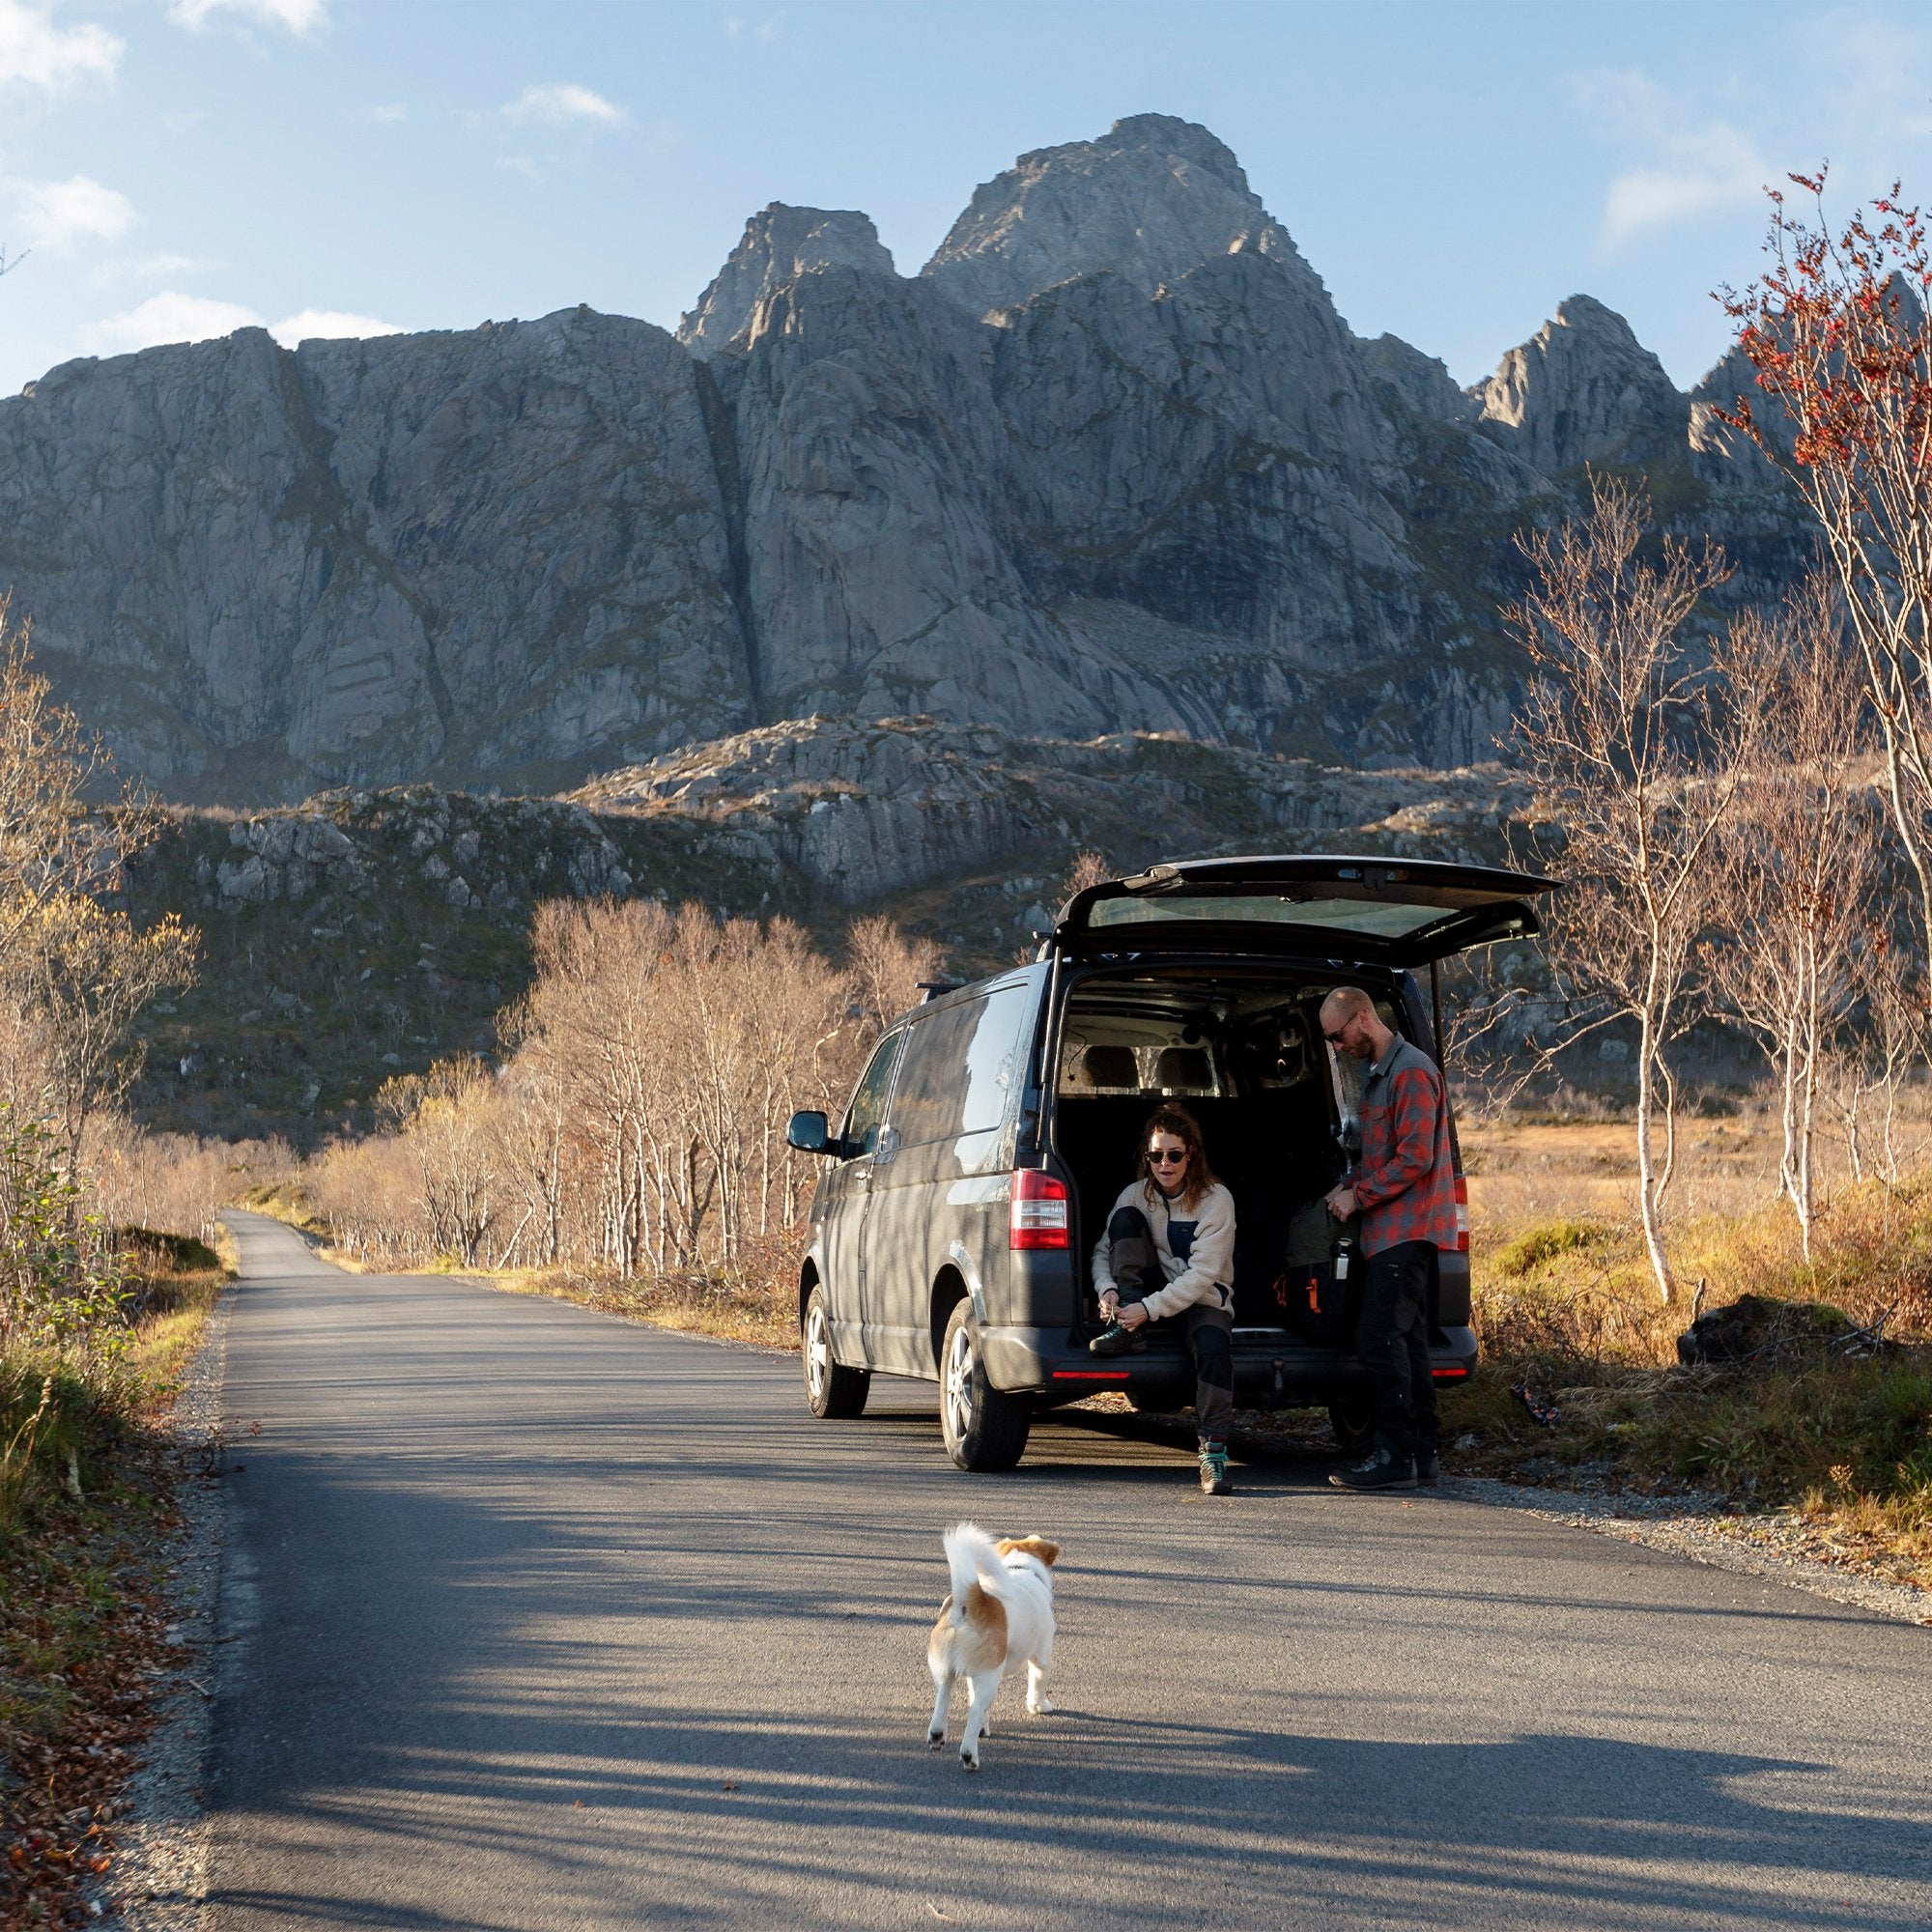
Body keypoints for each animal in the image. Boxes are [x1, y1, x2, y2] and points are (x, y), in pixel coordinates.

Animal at [920, 1515, 1059, 1770]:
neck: (1021, 1569)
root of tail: (969, 1600)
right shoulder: (1042, 1656)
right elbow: (1038, 1683)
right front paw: (1039, 1706)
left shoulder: (972, 1675)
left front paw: (983, 1729)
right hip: (990, 1676)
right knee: (974, 1711)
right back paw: (969, 1755)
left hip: (947, 1671)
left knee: (944, 1699)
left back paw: (937, 1735)